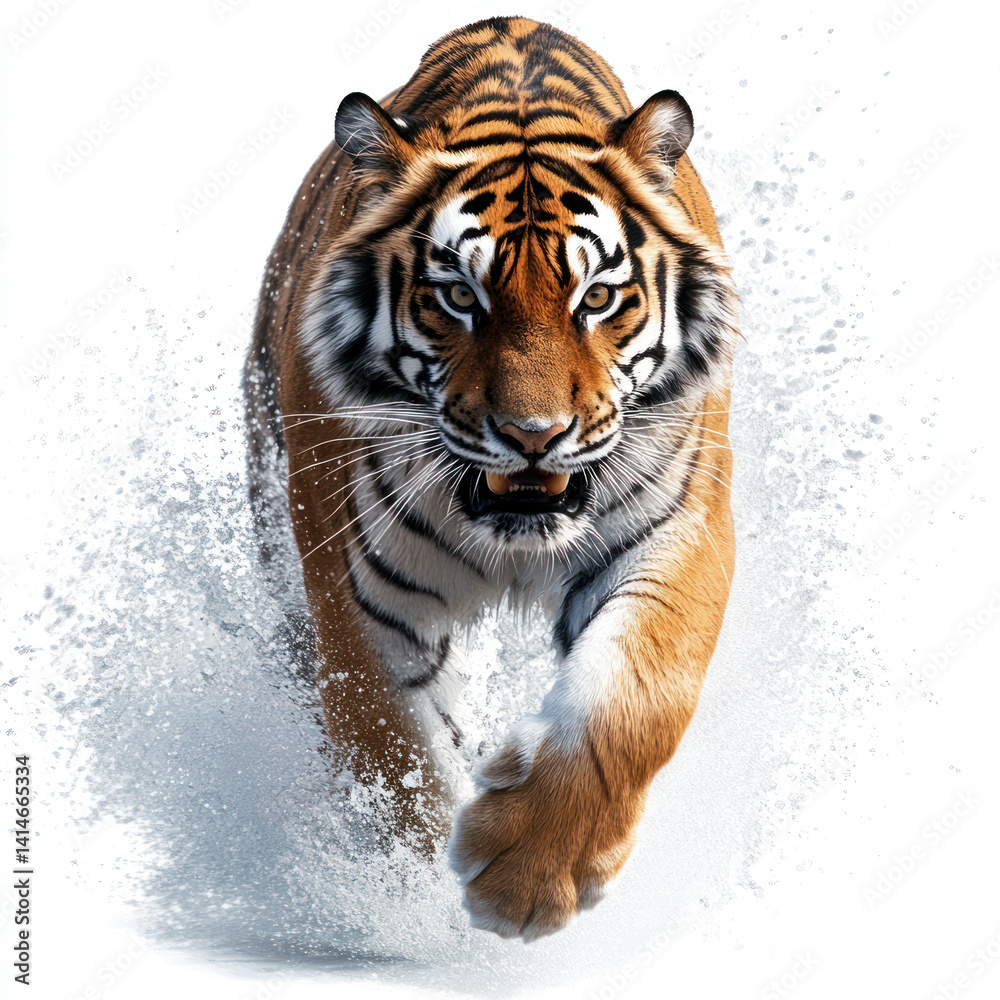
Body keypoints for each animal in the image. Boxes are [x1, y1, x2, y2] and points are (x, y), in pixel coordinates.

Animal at [243, 15, 739, 941]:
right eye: (458, 298)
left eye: (596, 298)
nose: (533, 437)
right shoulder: (359, 597)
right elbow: (392, 751)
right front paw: (412, 899)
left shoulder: (678, 531)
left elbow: (633, 699)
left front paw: (528, 878)